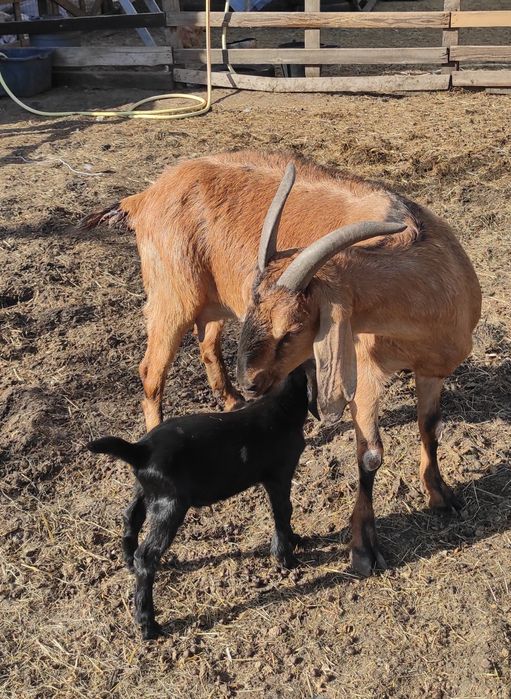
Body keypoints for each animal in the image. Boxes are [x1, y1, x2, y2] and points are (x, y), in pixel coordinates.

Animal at [81, 150, 448, 434]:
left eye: (292, 329)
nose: (252, 383)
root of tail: (146, 196)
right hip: (173, 296)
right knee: (151, 369)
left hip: (214, 300)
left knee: (208, 344)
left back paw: (233, 401)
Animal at [87, 365, 311, 640]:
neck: (279, 405)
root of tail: (140, 450)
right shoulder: (279, 475)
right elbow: (283, 511)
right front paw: (286, 558)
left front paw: (295, 540)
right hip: (170, 506)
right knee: (147, 556)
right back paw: (148, 625)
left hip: (144, 491)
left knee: (130, 518)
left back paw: (128, 563)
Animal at [236, 163, 482, 577]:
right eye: (251, 307)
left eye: (292, 328)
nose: (249, 383)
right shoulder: (364, 374)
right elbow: (370, 455)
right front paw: (364, 549)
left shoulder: (433, 370)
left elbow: (430, 427)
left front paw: (441, 495)